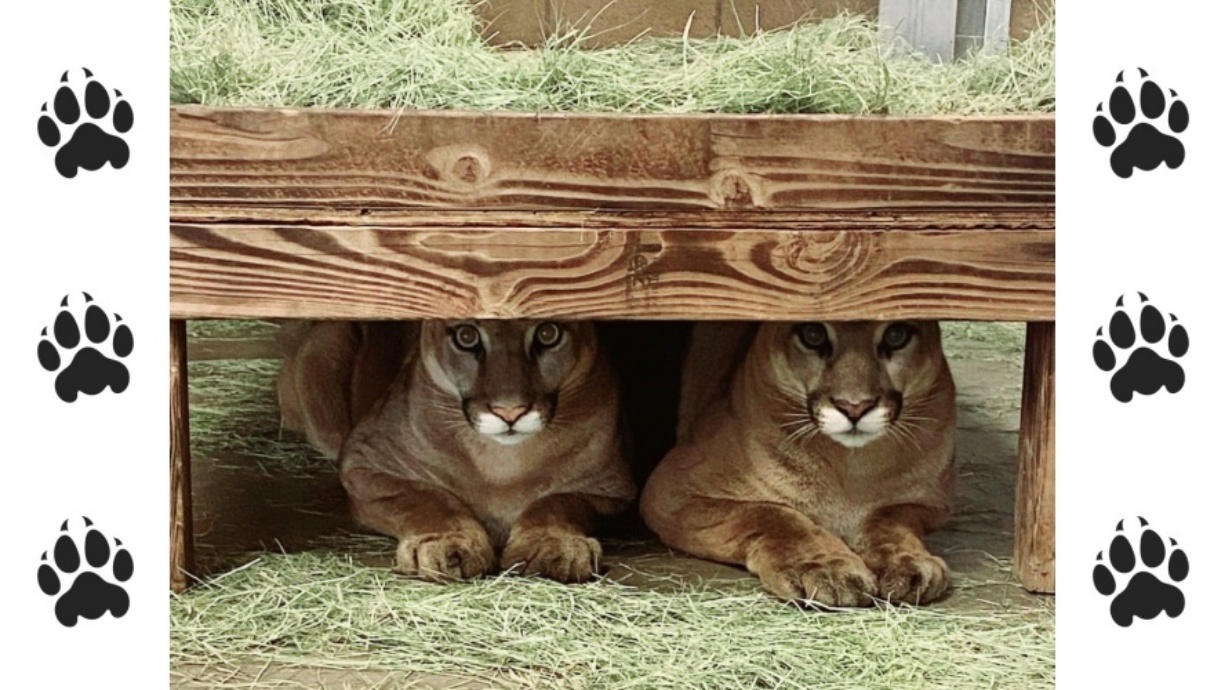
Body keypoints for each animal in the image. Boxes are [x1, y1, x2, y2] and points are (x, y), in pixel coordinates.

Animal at [276, 321, 632, 583]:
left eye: (548, 333)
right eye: (467, 336)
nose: (510, 411)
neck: (501, 465)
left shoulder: (614, 490)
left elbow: (560, 502)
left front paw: (554, 546)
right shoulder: (363, 462)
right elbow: (426, 498)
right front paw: (448, 544)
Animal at [641, 321, 955, 607]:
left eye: (896, 334)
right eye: (813, 334)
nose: (854, 407)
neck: (850, 467)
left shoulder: (931, 504)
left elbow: (888, 518)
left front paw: (909, 562)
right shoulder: (671, 490)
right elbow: (771, 514)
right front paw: (824, 567)